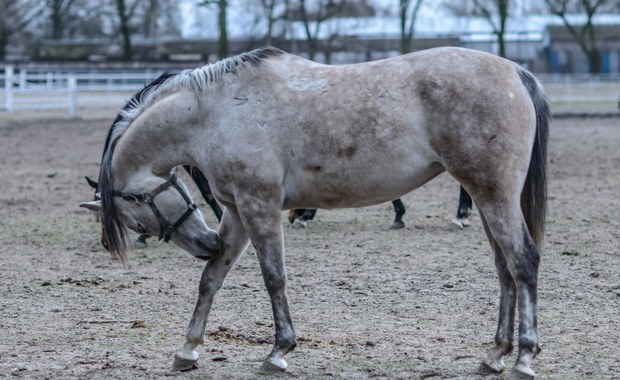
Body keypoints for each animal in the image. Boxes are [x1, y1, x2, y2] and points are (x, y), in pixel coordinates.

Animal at [81, 46, 548, 378]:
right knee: (505, 269)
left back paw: (524, 358)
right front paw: (188, 349)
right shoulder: (236, 211)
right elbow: (211, 278)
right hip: (487, 199)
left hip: (494, 195)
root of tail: (515, 72)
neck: (215, 112)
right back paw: (494, 356)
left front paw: (279, 351)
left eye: (136, 219)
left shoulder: (259, 205)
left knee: (523, 261)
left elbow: (274, 277)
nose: (204, 242)